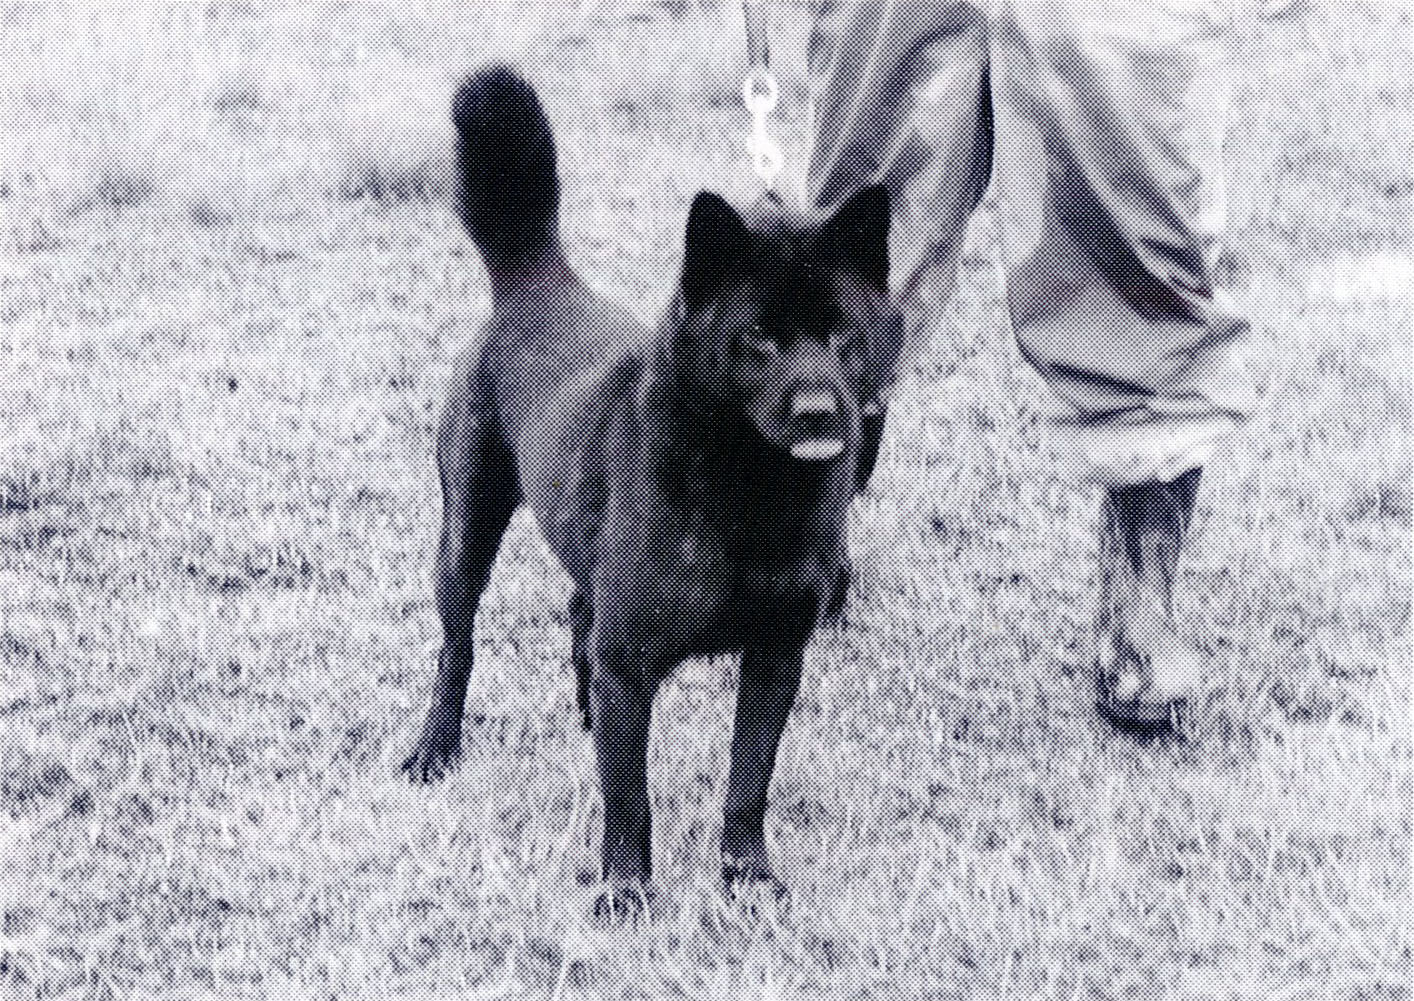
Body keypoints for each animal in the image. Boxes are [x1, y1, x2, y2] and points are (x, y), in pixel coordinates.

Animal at [401, 65, 901, 917]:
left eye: (843, 333)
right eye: (757, 337)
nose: (818, 410)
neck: (750, 493)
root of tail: (534, 283)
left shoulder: (775, 657)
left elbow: (748, 782)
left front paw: (747, 876)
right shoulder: (632, 663)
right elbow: (629, 794)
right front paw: (626, 892)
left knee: (577, 611)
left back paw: (580, 712)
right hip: (464, 534)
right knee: (456, 648)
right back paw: (436, 748)